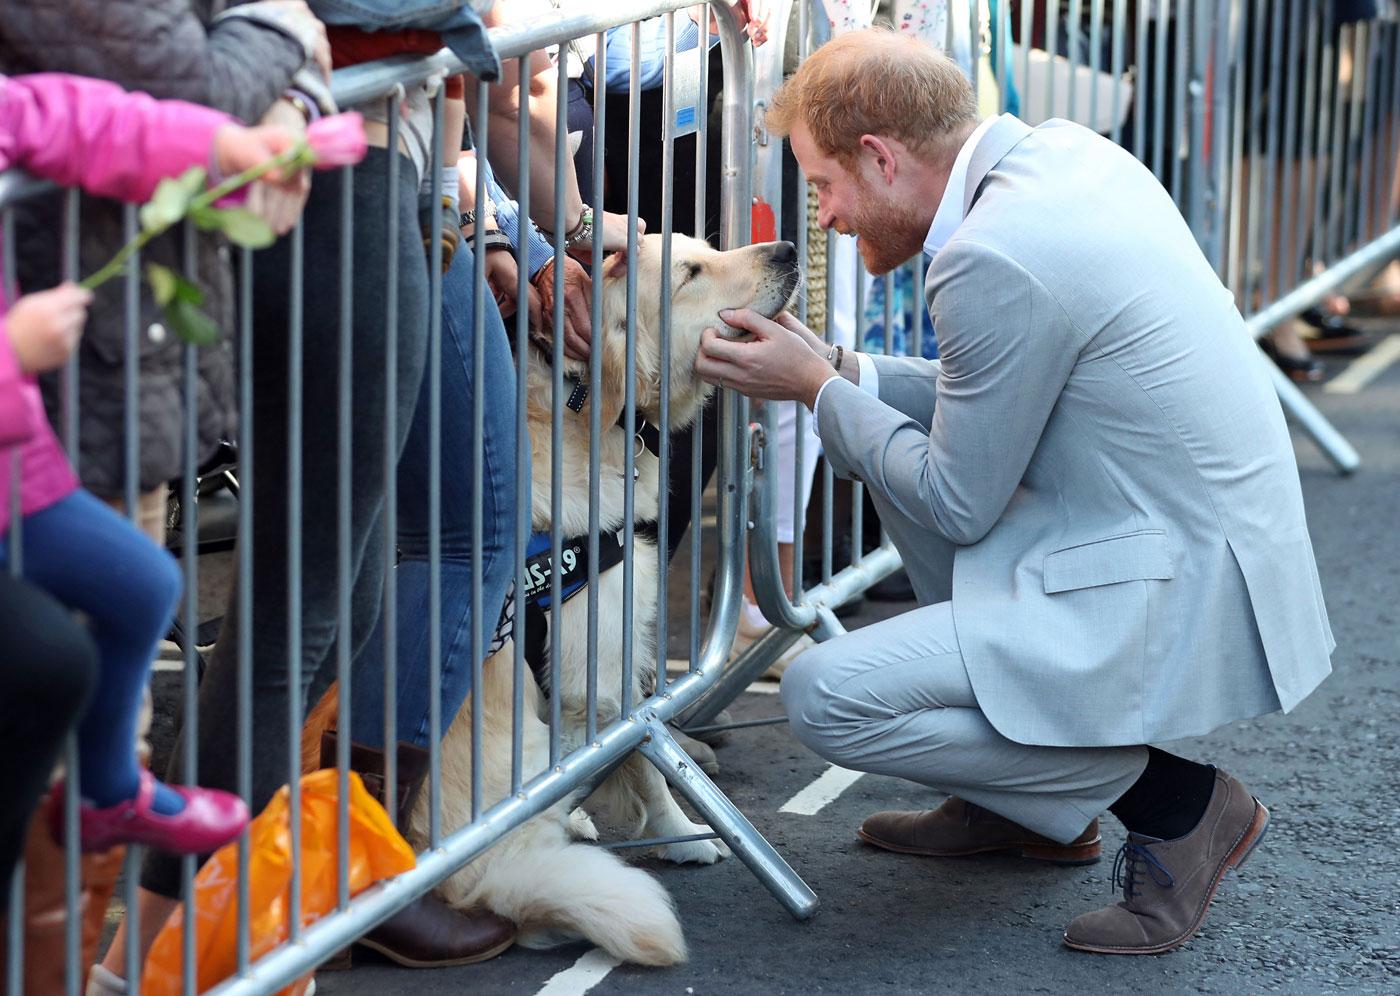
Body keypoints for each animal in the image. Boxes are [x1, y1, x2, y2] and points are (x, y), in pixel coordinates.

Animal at [408, 235, 795, 963]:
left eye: (708, 248)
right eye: (690, 272)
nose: (788, 248)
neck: (586, 417)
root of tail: (464, 885)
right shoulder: (599, 663)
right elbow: (643, 754)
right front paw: (680, 832)